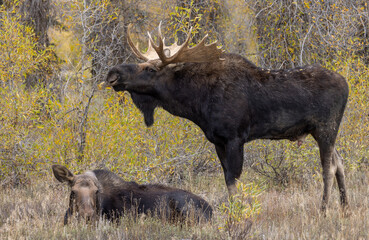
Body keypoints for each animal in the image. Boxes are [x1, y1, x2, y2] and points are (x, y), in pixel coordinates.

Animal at [103, 23, 348, 212]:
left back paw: (324, 209)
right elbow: (227, 179)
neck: (196, 102)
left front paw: (237, 214)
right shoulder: (217, 141)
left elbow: (233, 180)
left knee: (328, 168)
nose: (113, 73)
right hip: (322, 132)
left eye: (151, 69)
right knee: (340, 162)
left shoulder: (235, 138)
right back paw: (345, 207)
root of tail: (347, 86)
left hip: (326, 128)